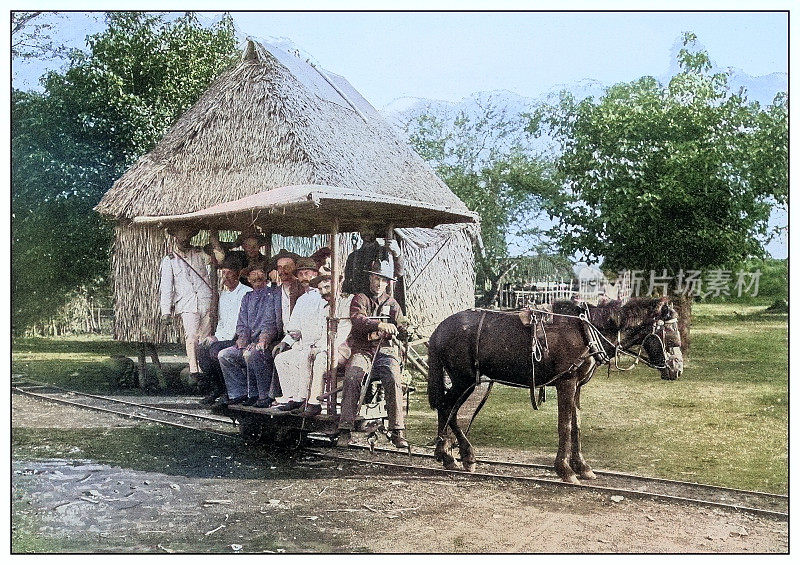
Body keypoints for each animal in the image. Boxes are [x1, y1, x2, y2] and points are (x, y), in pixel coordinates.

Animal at [428, 298, 684, 482]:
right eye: (671, 332)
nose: (677, 368)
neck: (588, 331)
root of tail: (440, 329)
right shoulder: (566, 383)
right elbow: (565, 426)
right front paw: (565, 470)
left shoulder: (577, 386)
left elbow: (577, 425)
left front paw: (582, 467)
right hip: (463, 380)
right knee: (446, 407)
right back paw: (452, 455)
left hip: (465, 382)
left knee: (448, 410)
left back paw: (454, 455)